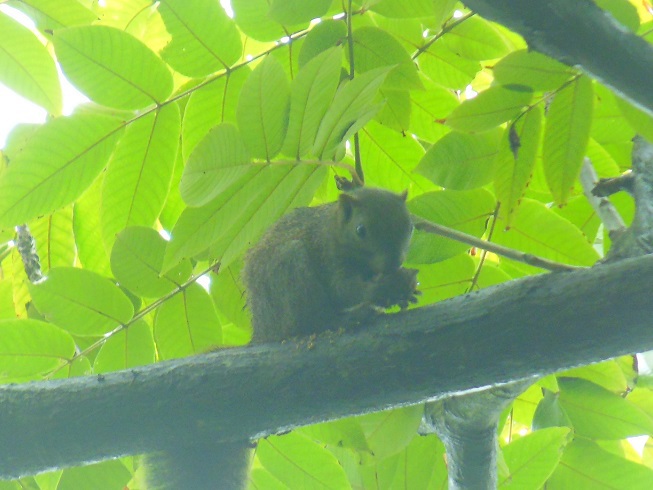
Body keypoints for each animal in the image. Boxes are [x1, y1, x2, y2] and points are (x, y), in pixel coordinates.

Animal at [243, 182, 418, 342]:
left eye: (410, 228)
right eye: (360, 230)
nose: (393, 264)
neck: (334, 227)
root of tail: (260, 330)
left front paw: (403, 291)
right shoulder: (329, 255)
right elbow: (344, 290)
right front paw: (389, 286)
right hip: (289, 268)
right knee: (311, 321)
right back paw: (350, 318)